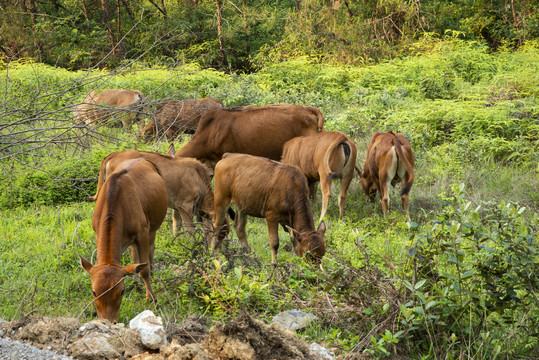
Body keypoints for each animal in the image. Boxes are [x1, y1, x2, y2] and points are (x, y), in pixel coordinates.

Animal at [78, 159, 167, 322]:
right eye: (94, 292)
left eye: (122, 291)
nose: (109, 321)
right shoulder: (98, 233)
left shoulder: (142, 233)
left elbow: (145, 269)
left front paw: (151, 299)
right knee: (134, 253)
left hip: (153, 228)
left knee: (151, 251)